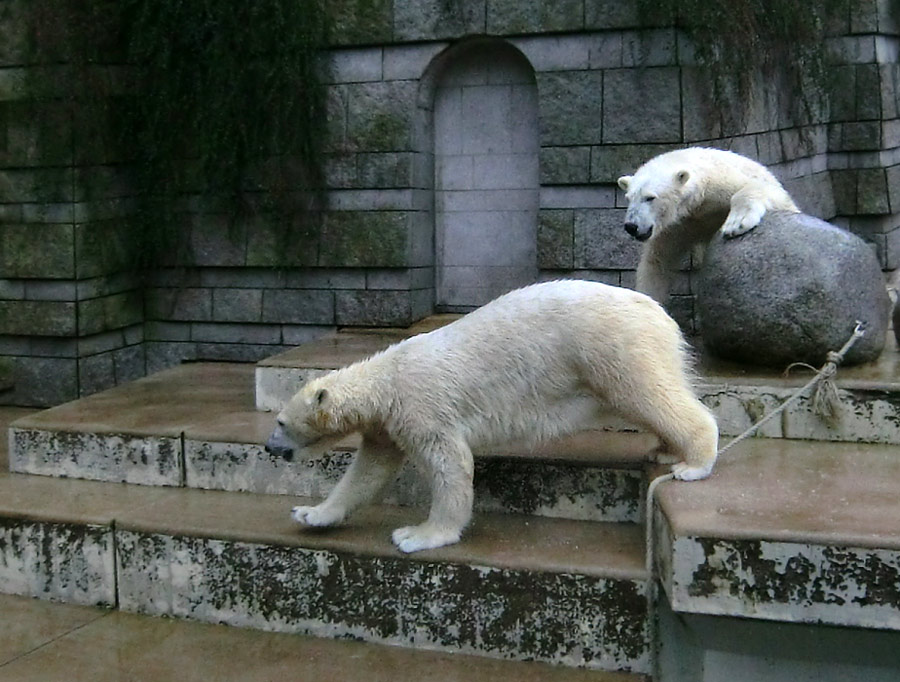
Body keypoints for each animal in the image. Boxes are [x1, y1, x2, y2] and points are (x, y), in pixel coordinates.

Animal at [266, 278, 716, 548]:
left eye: (280, 422)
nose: (269, 447)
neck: (387, 379)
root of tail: (659, 313)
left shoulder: (422, 406)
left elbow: (450, 464)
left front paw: (418, 535)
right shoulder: (386, 427)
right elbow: (367, 471)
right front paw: (312, 513)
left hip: (611, 344)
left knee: (647, 393)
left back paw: (694, 462)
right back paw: (665, 450)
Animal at [616, 148, 800, 302]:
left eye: (650, 197)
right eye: (629, 198)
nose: (631, 226)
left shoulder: (721, 185)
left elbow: (766, 191)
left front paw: (736, 223)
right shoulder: (678, 226)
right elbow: (656, 264)